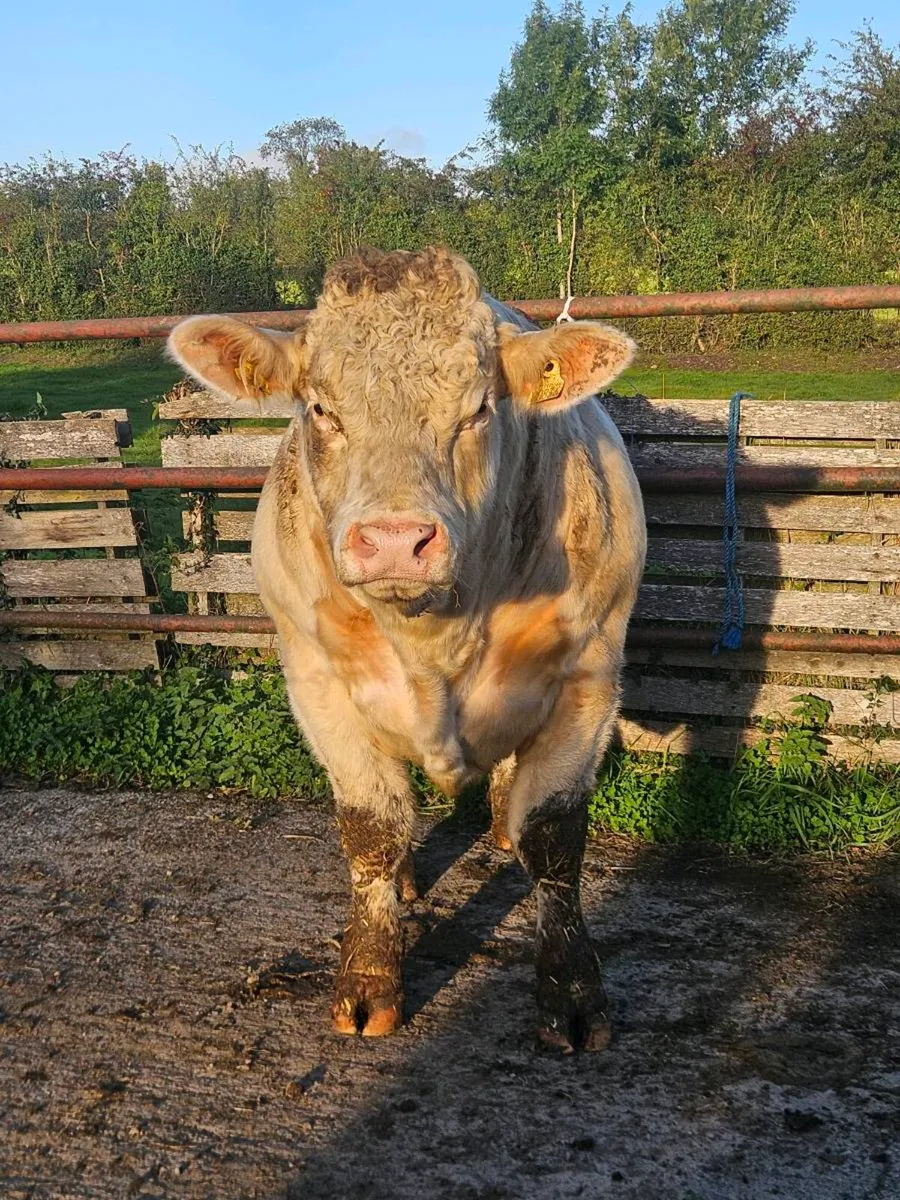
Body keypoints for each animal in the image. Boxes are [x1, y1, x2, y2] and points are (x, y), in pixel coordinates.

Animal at [168, 246, 646, 1053]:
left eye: (480, 408)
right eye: (320, 409)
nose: (395, 540)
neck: (436, 634)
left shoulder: (588, 680)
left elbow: (554, 838)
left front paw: (572, 992)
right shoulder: (317, 681)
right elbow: (371, 828)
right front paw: (369, 981)